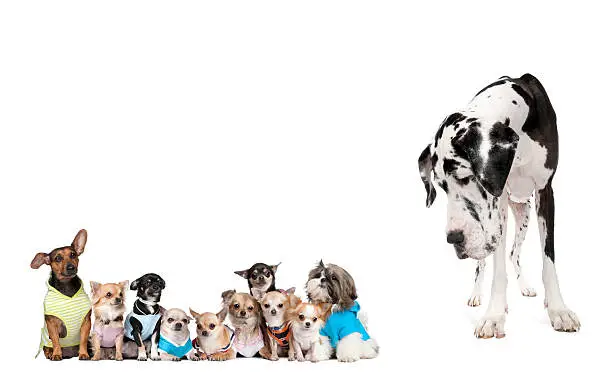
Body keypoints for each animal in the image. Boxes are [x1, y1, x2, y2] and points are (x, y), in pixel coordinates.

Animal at [30, 229, 91, 360]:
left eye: (73, 255)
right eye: (58, 258)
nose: (71, 267)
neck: (66, 286)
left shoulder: (86, 322)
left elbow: (83, 340)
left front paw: (83, 353)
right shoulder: (51, 324)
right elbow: (56, 341)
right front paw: (56, 354)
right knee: (46, 346)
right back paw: (50, 353)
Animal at [418, 74, 580, 338]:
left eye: (465, 177)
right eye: (441, 186)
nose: (453, 238)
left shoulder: (545, 190)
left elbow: (548, 259)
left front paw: (558, 309)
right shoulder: (499, 202)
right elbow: (497, 268)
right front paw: (494, 315)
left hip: (524, 213)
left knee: (514, 253)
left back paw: (526, 287)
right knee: (483, 263)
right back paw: (477, 293)